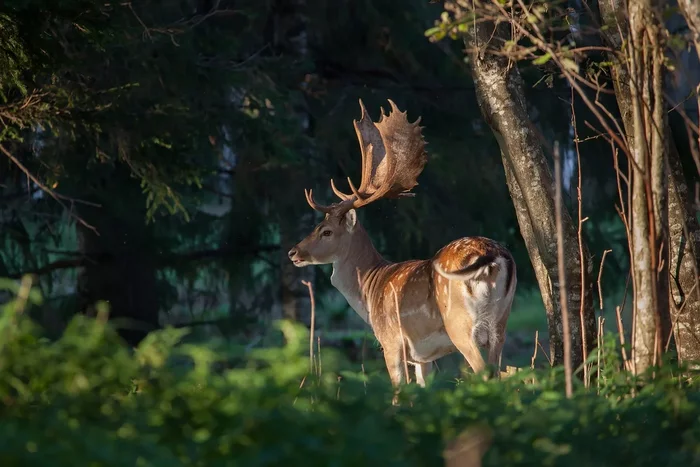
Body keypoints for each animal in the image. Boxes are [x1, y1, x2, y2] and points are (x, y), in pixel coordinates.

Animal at [288, 100, 516, 394]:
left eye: (326, 231)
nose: (294, 252)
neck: (370, 288)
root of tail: (493, 255)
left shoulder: (392, 340)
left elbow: (398, 392)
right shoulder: (422, 356)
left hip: (460, 325)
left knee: (483, 373)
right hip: (501, 323)